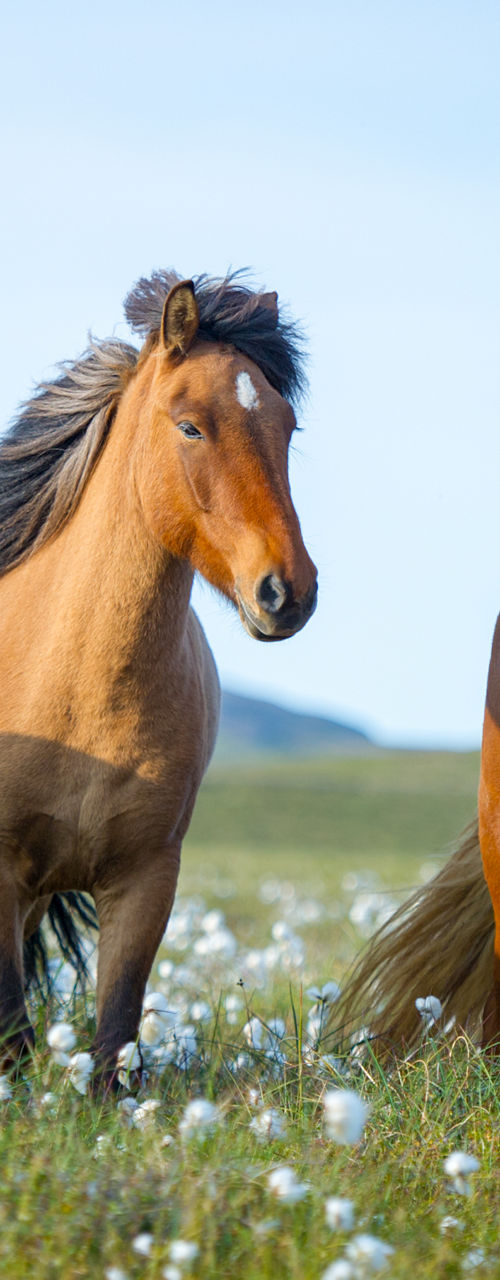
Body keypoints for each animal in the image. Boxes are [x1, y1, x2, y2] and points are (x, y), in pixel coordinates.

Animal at [0, 271, 318, 1083]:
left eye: (287, 428)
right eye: (190, 427)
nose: (289, 593)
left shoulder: (145, 881)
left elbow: (114, 1039)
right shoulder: (0, 875)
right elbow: (15, 1039)